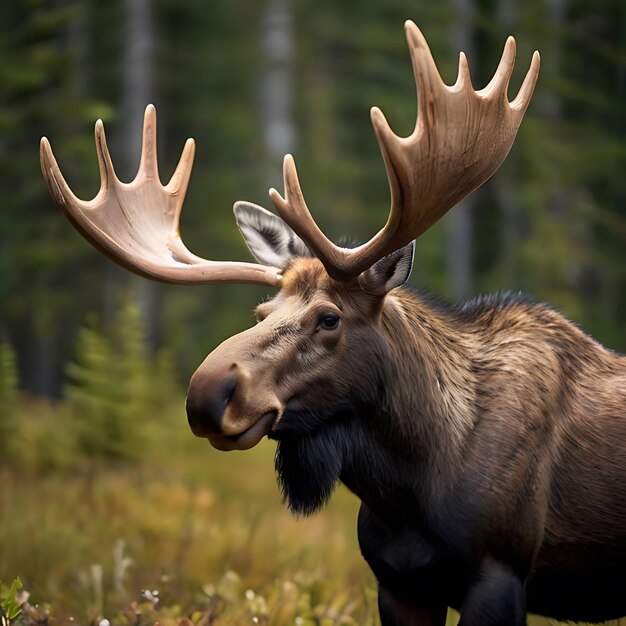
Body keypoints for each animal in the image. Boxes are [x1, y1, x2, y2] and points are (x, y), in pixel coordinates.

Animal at [40, 22, 624, 624]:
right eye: (261, 312)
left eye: (328, 318)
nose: (207, 393)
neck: (410, 486)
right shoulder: (399, 582)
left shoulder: (500, 572)